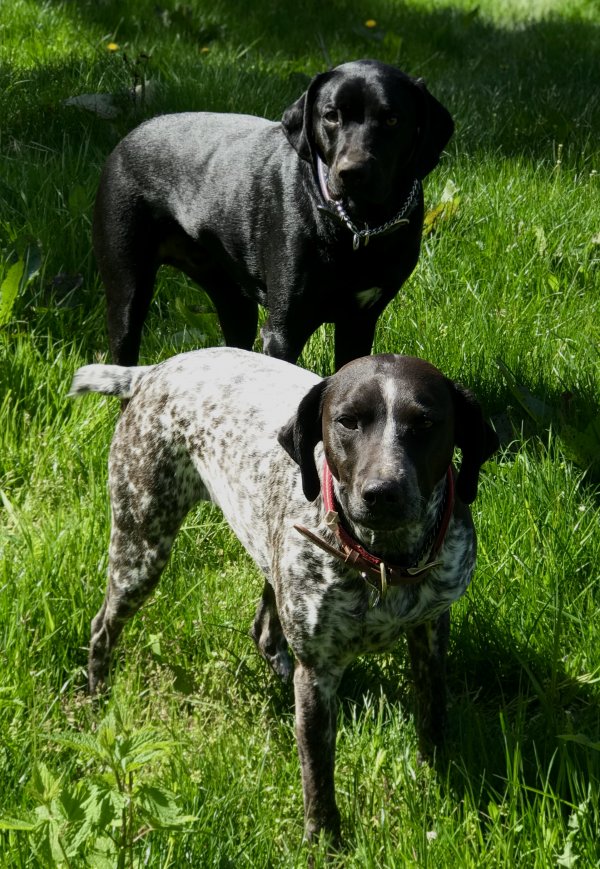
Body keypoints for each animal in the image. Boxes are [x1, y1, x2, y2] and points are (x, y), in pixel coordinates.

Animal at [70, 346, 500, 840]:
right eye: (348, 421)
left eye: (425, 423)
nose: (382, 492)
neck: (384, 563)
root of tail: (153, 371)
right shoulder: (317, 673)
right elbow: (318, 778)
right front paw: (325, 842)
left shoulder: (429, 633)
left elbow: (433, 719)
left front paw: (435, 783)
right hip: (141, 550)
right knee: (102, 628)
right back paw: (97, 703)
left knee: (263, 630)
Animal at [94, 60, 452, 366]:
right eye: (331, 115)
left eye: (392, 119)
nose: (352, 173)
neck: (358, 225)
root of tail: (128, 137)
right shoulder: (284, 330)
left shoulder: (360, 321)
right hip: (128, 292)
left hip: (234, 300)